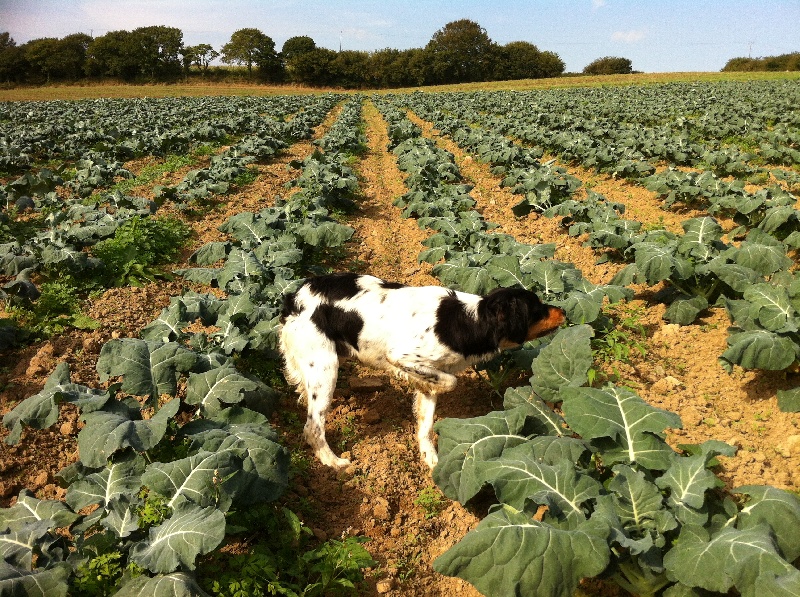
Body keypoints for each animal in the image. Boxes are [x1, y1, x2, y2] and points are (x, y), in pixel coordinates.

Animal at [278, 274, 564, 470]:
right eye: (537, 309)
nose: (563, 310)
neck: (470, 320)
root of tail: (295, 298)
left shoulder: (433, 367)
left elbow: (426, 422)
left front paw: (430, 457)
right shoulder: (401, 356)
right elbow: (450, 382)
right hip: (325, 368)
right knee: (312, 427)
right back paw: (334, 463)